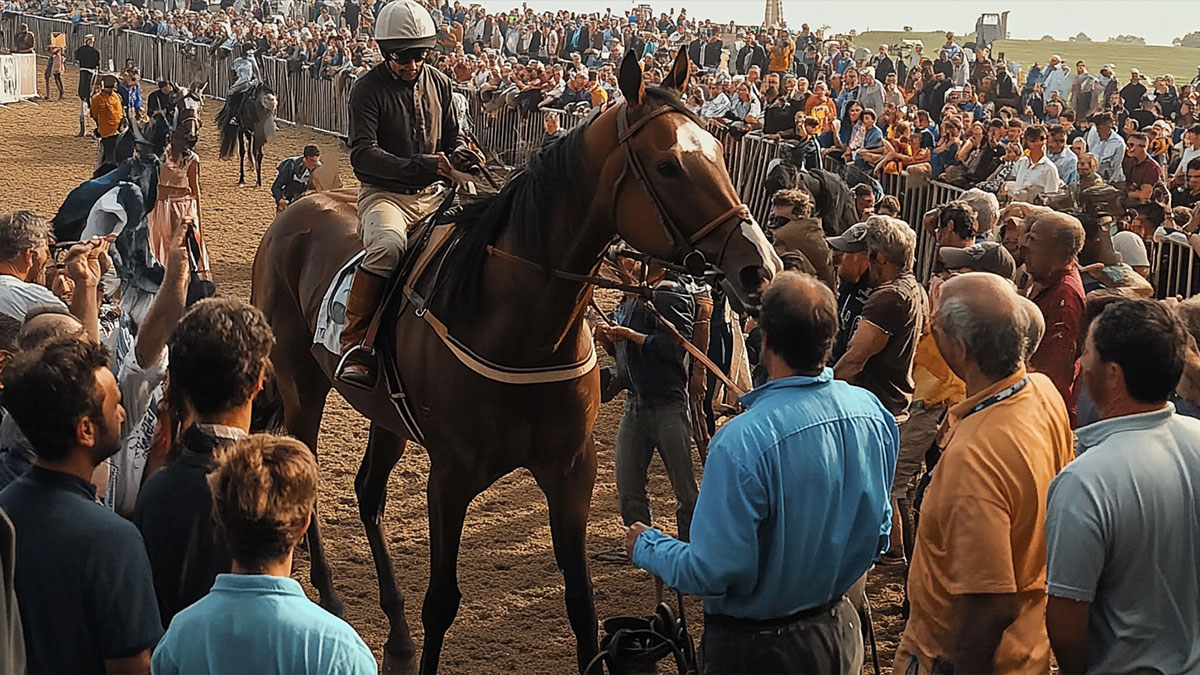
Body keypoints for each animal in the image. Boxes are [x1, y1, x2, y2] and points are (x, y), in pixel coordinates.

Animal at [248, 49, 782, 667]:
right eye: (669, 165)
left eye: (719, 152)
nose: (759, 267)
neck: (519, 324)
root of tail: (295, 212)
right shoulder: (450, 476)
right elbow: (442, 602)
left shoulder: (571, 470)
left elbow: (581, 603)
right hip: (302, 385)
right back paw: (332, 597)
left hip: (387, 415)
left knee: (369, 493)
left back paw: (397, 633)